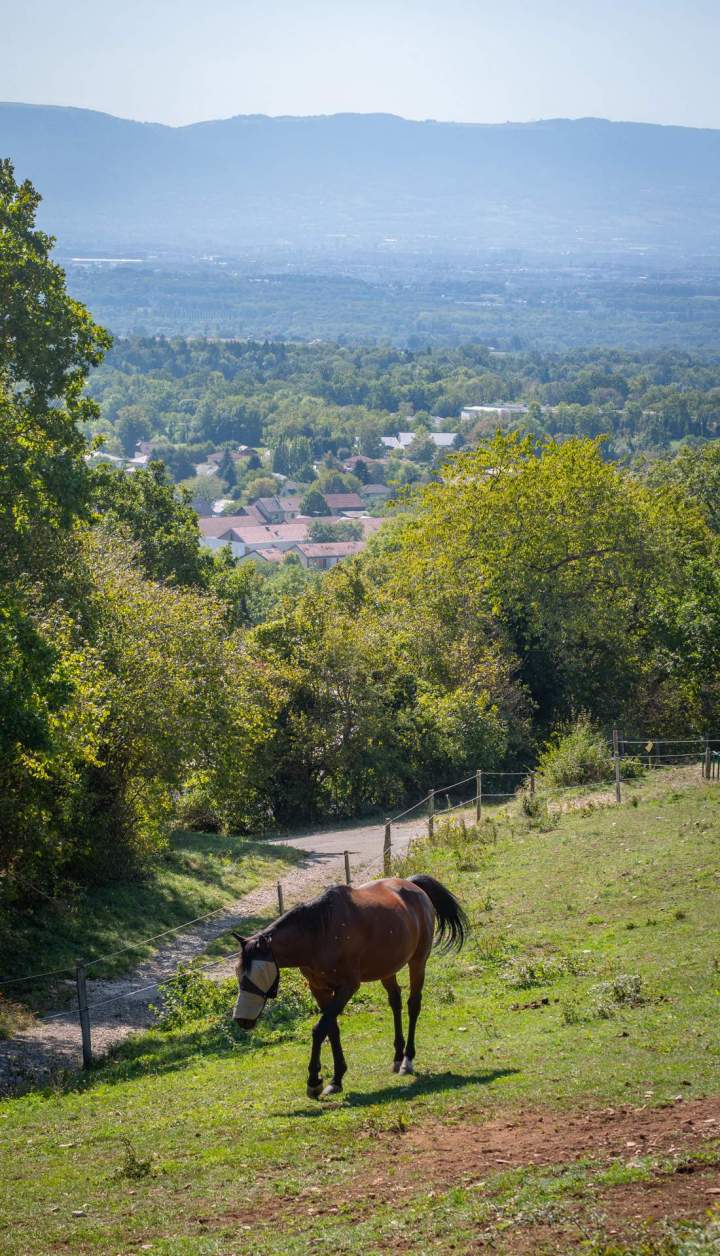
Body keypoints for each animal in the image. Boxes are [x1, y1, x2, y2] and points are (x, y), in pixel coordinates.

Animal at [232, 873, 468, 1098]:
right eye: (238, 972)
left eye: (259, 973)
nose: (242, 1020)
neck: (319, 934)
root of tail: (413, 886)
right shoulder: (319, 989)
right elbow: (331, 1029)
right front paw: (336, 1079)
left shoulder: (347, 987)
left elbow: (320, 1029)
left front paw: (314, 1081)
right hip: (387, 969)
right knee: (395, 1002)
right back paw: (397, 1056)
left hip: (418, 962)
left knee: (413, 1004)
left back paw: (407, 1059)